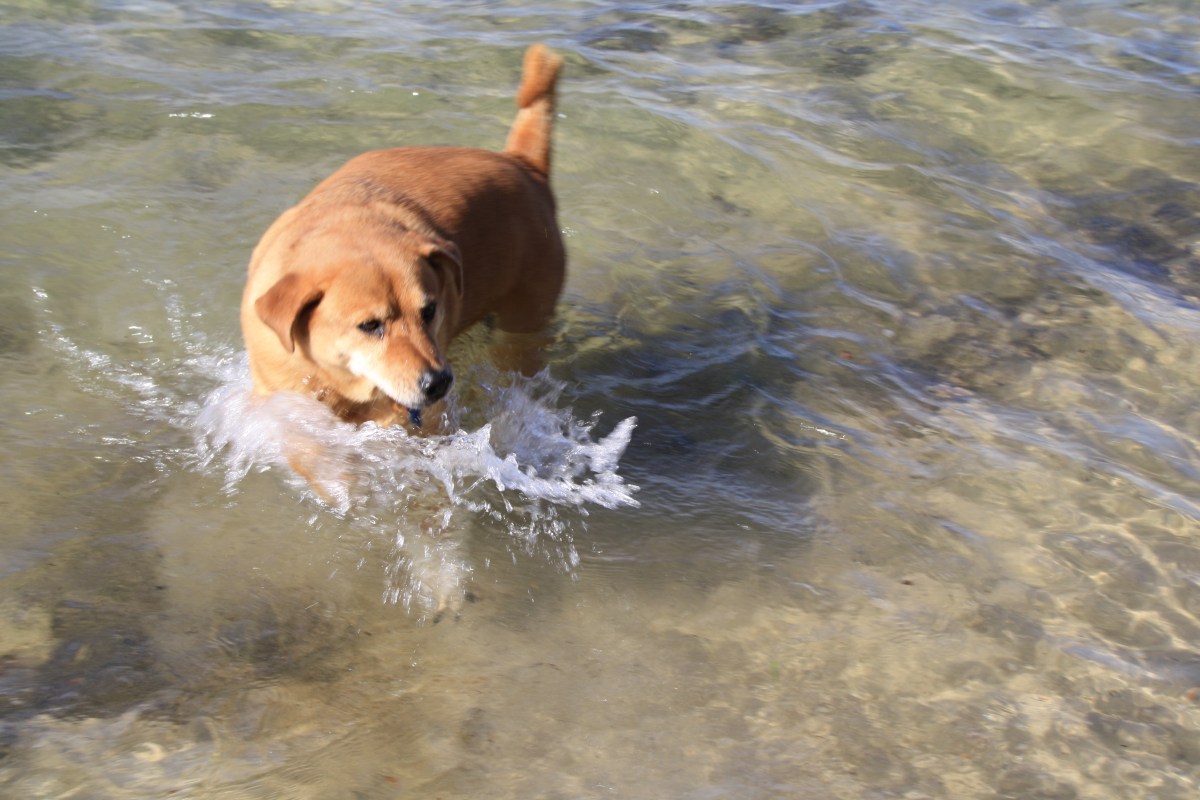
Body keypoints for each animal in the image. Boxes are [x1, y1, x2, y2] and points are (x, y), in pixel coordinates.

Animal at [241, 45, 565, 437]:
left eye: (429, 311)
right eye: (369, 325)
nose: (438, 382)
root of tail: (523, 165)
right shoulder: (282, 399)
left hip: (523, 325)